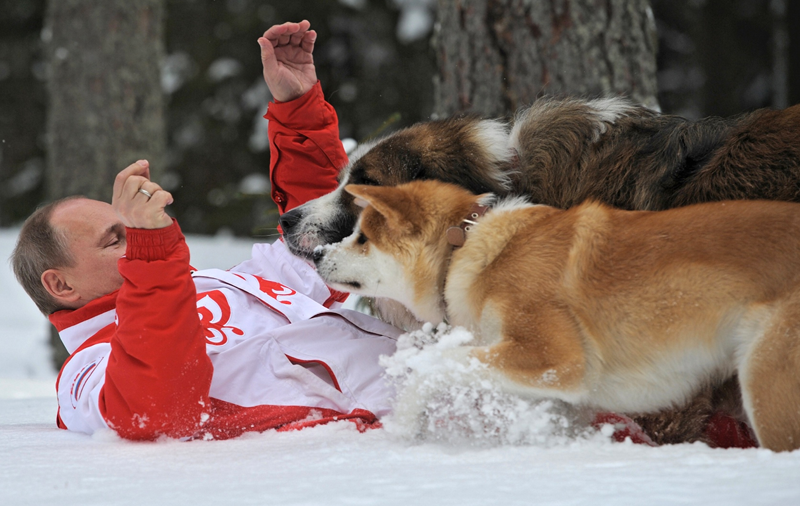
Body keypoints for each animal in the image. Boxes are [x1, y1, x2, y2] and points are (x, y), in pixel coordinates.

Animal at [314, 179, 800, 450]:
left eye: (362, 239)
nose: (317, 253)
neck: (465, 247)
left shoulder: (555, 360)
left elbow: (436, 364)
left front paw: (405, 426)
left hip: (767, 385)